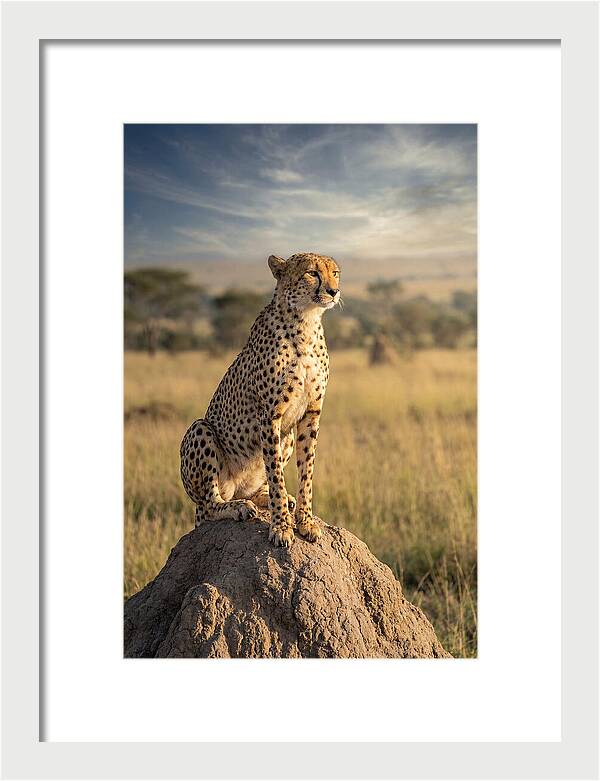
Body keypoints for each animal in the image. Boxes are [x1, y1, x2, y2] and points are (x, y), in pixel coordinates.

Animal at [180, 251, 341, 547]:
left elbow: (306, 472)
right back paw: (238, 507)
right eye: (312, 273)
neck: (306, 321)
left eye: (335, 273)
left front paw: (305, 521)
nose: (333, 291)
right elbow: (276, 473)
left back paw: (269, 499)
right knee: (210, 504)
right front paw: (281, 527)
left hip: (286, 436)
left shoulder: (311, 413)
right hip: (200, 430)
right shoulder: (270, 415)